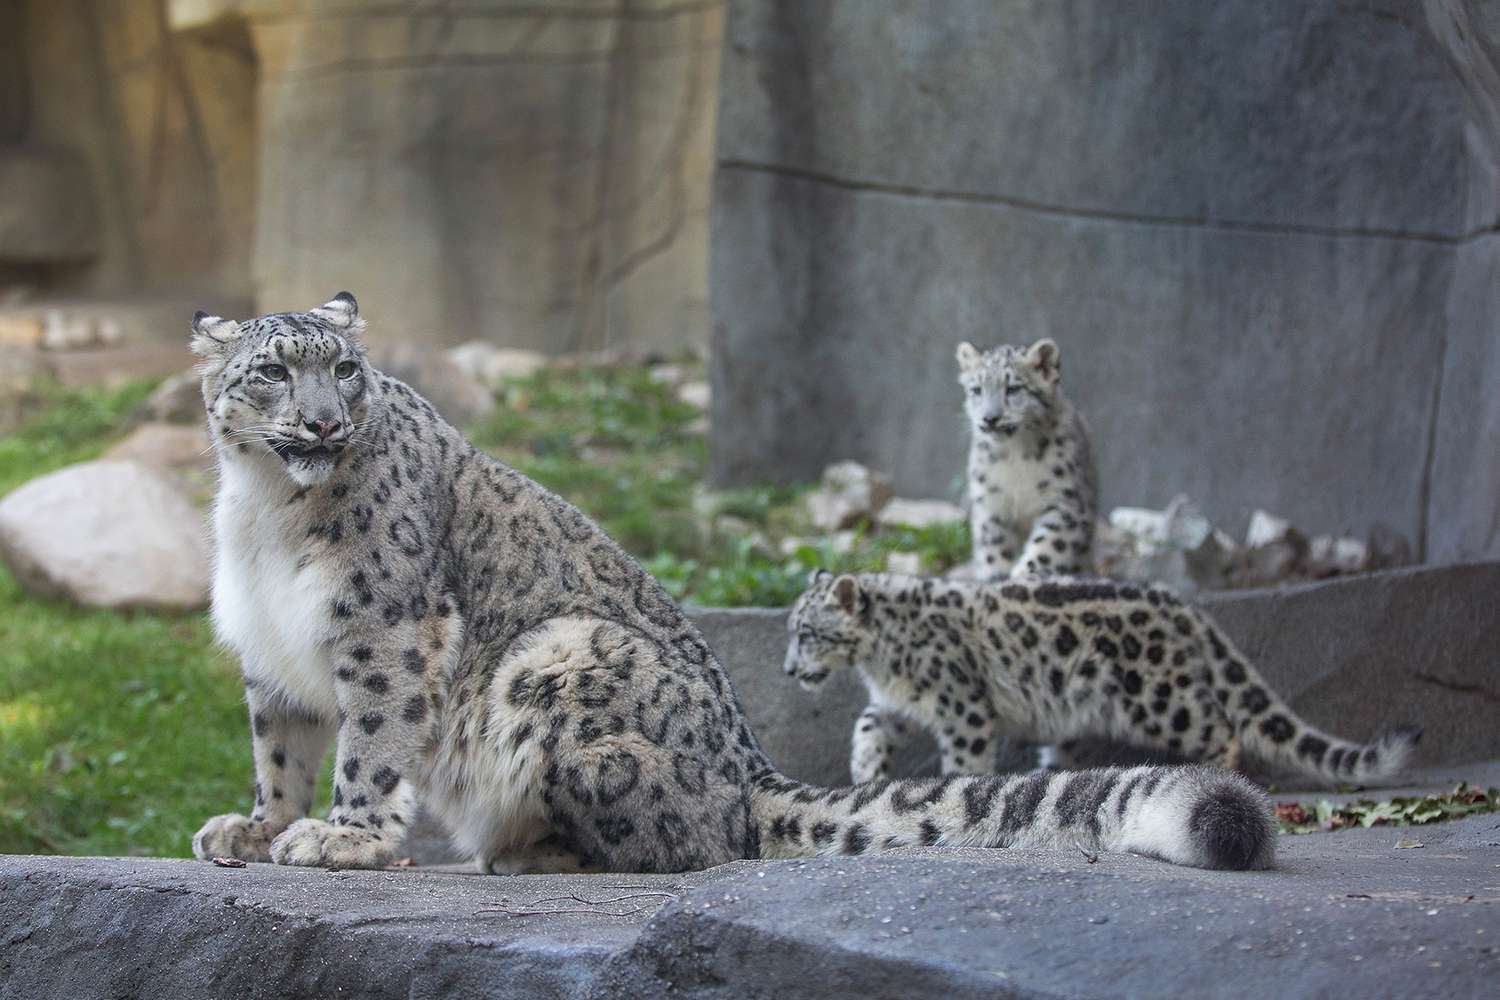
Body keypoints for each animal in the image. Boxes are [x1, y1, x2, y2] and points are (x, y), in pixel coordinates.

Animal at [784, 570, 1421, 789]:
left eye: (808, 632)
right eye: (791, 630)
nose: (788, 670)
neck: (879, 660)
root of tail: (1180, 604)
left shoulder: (960, 705)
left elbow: (963, 758)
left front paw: (959, 786)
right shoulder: (897, 704)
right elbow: (868, 724)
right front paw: (865, 772)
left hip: (1159, 698)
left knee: (1221, 727)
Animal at [957, 339, 1098, 581]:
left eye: (1013, 388)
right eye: (977, 390)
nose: (990, 418)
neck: (1016, 455)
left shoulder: (1066, 499)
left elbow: (1051, 542)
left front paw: (1026, 571)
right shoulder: (990, 500)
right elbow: (994, 541)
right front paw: (997, 574)